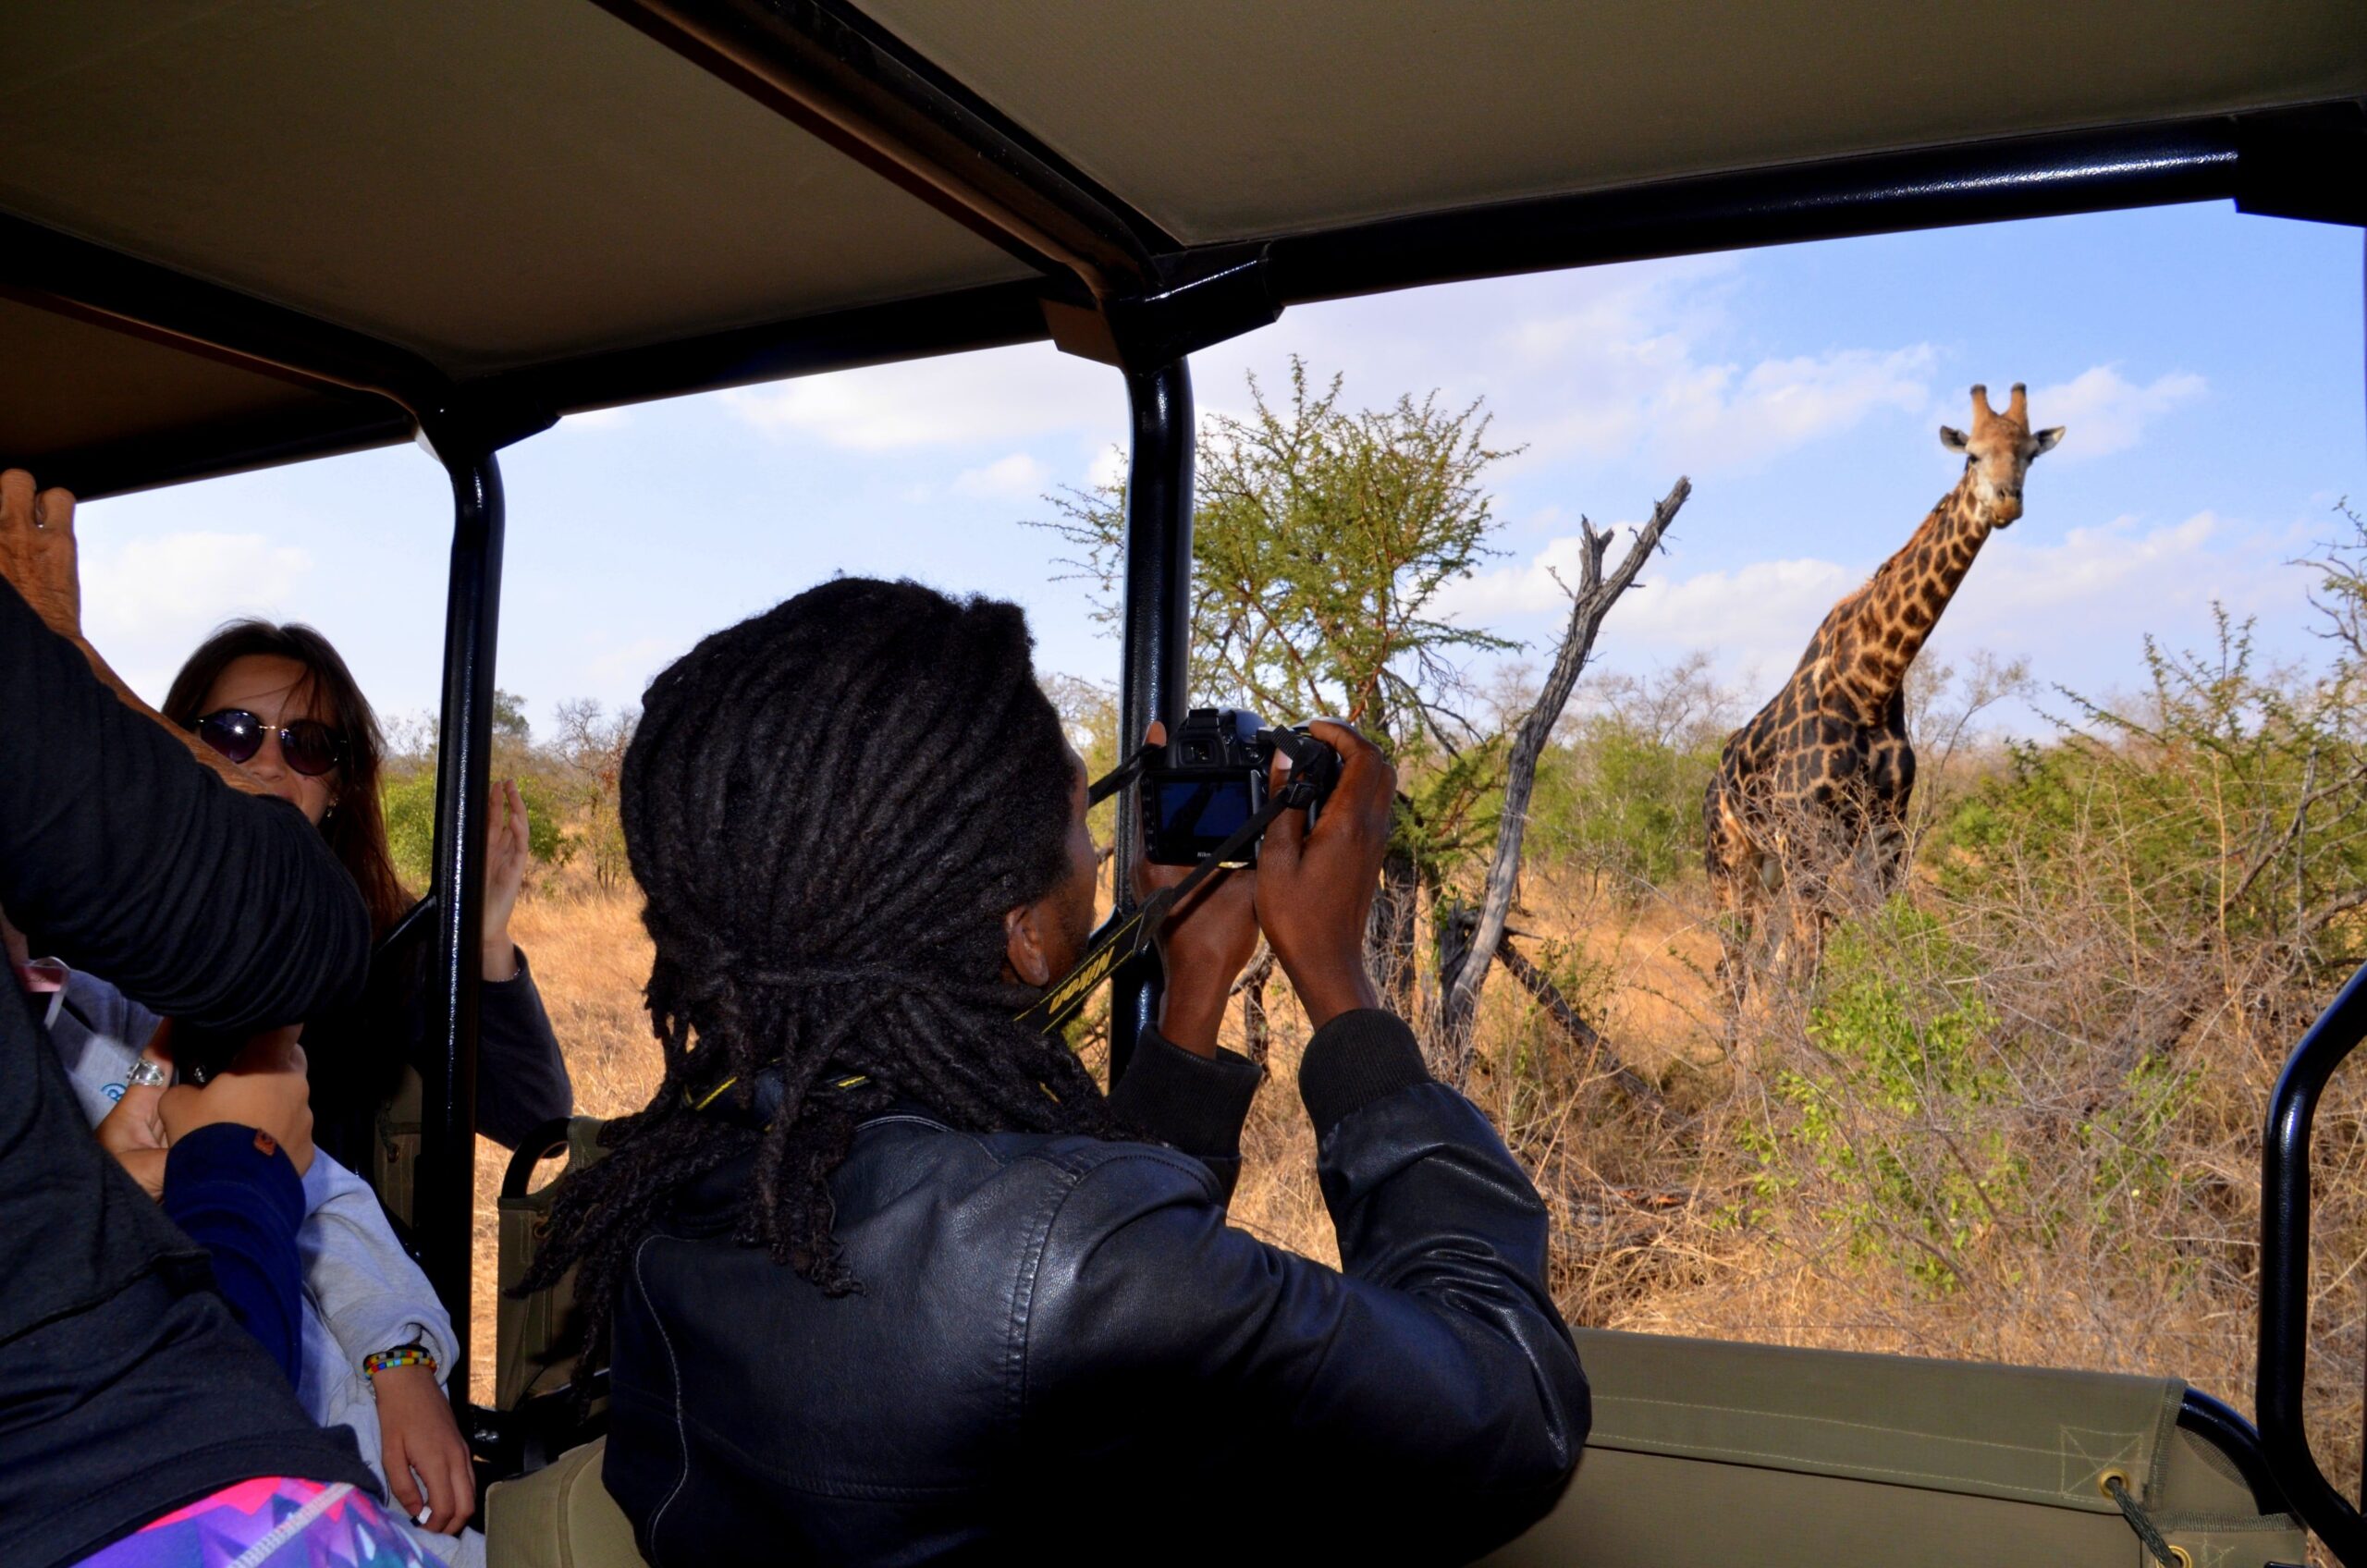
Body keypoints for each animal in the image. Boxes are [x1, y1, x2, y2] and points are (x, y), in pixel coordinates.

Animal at [1704, 388, 2073, 966]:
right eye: (1972, 456)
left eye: (2029, 457)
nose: (2006, 503)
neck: (1871, 685)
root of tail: (1710, 785)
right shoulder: (1808, 834)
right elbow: (1811, 961)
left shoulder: (1886, 833)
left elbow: (1880, 941)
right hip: (1729, 859)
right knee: (1734, 960)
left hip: (1768, 868)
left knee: (1760, 956)